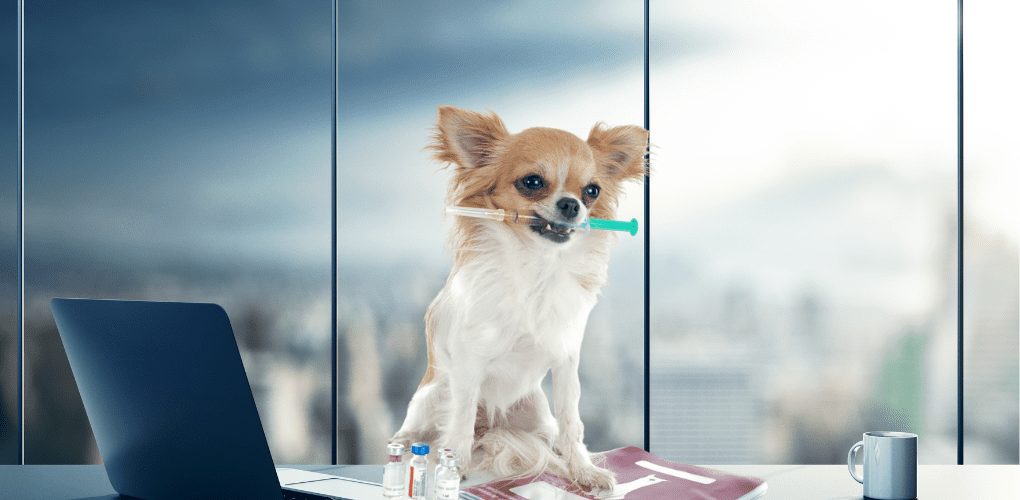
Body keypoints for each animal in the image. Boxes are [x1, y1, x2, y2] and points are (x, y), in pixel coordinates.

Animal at [391, 106, 644, 491]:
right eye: (532, 182)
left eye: (592, 191)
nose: (571, 204)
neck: (537, 264)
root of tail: (492, 427)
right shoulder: (469, 364)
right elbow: (460, 420)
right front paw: (456, 467)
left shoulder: (566, 362)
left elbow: (572, 421)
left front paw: (582, 469)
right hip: (434, 394)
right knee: (429, 427)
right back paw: (406, 443)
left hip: (535, 412)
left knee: (551, 433)